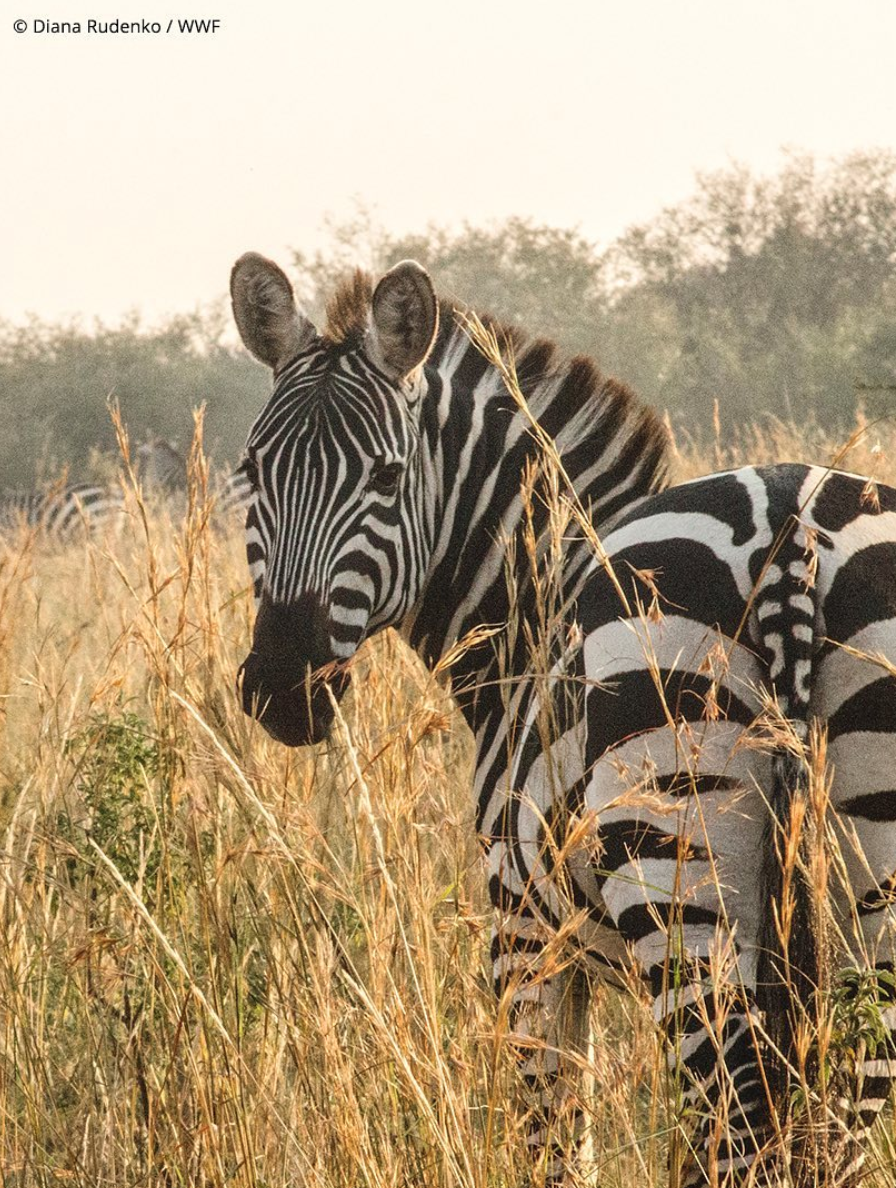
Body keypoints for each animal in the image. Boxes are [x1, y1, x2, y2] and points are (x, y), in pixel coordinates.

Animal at [226, 255, 893, 1183]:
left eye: (387, 479)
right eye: (253, 472)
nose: (283, 686)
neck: (531, 606)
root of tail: (787, 526)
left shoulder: (526, 938)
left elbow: (554, 1147)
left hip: (680, 871)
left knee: (736, 1132)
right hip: (865, 908)